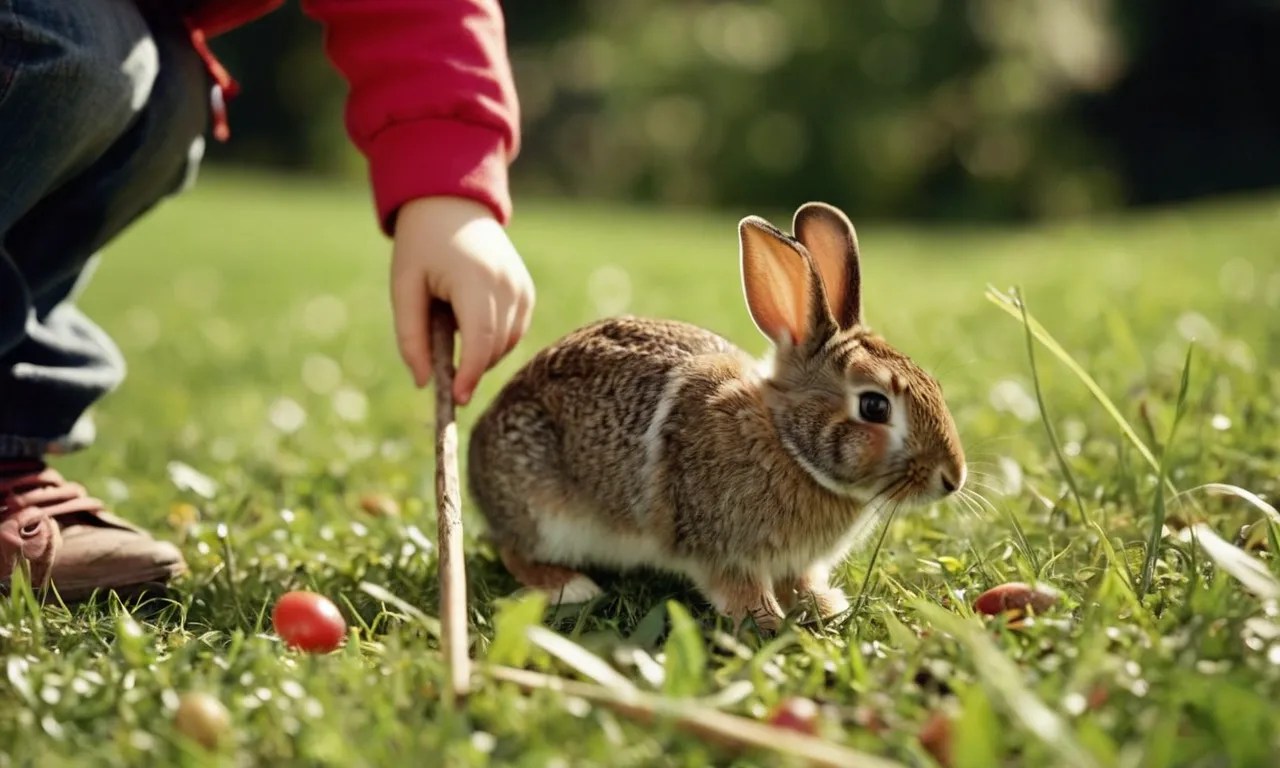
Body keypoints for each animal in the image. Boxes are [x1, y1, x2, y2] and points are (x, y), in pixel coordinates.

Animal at [468, 202, 966, 632]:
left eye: (934, 385)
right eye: (874, 406)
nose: (953, 478)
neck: (788, 446)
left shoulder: (796, 562)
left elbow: (802, 584)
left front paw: (826, 607)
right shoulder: (723, 552)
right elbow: (741, 591)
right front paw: (767, 622)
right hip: (542, 509)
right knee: (515, 550)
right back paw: (569, 586)